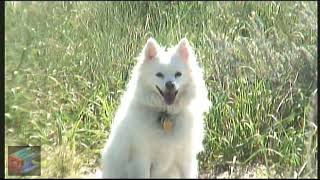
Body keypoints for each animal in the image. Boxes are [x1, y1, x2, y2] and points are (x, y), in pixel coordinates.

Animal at [101, 37, 211, 178]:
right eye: (159, 75)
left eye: (178, 74)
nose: (170, 84)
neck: (166, 114)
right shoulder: (141, 159)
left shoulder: (185, 158)